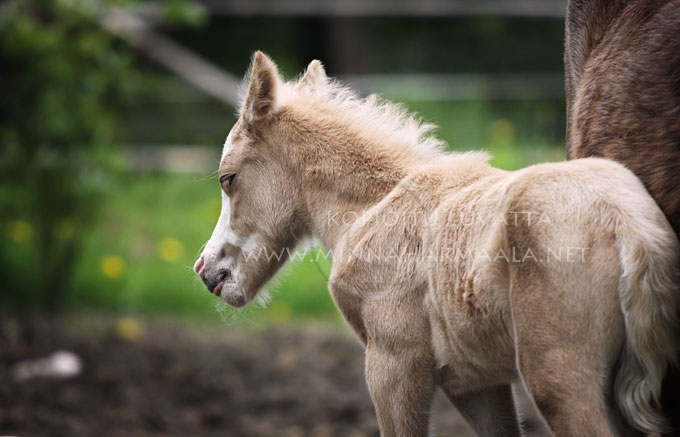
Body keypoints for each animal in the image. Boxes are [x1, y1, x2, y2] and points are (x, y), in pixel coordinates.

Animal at [194, 52, 676, 436]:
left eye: (228, 178)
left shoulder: (393, 366)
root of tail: (627, 223)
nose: (207, 272)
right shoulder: (477, 384)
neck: (373, 205)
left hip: (561, 379)